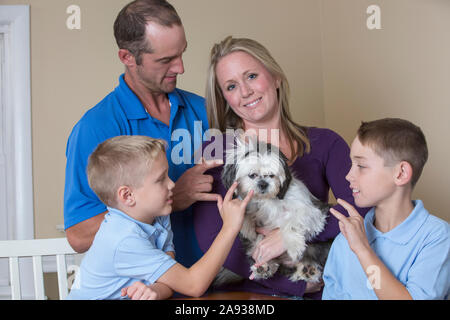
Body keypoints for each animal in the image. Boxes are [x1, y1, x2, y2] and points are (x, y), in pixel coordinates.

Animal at [216, 135, 332, 284]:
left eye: (271, 175)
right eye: (252, 175)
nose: (263, 184)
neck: (266, 200)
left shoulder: (312, 211)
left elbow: (292, 222)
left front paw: (294, 246)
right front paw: (247, 225)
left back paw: (308, 270)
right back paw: (266, 267)